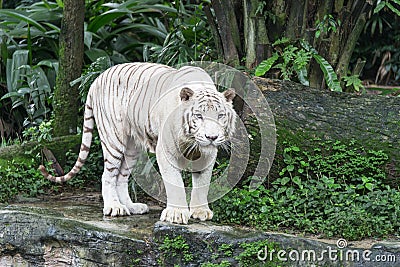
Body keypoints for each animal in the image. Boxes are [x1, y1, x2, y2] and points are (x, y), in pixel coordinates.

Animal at [39, 62, 236, 224]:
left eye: (220, 116)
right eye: (199, 116)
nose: (211, 137)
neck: (192, 140)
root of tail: (96, 79)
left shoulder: (208, 154)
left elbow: (202, 183)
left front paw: (201, 211)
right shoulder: (166, 152)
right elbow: (175, 182)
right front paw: (176, 214)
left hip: (132, 148)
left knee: (121, 178)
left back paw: (131, 207)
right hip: (113, 140)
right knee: (108, 175)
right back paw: (114, 207)